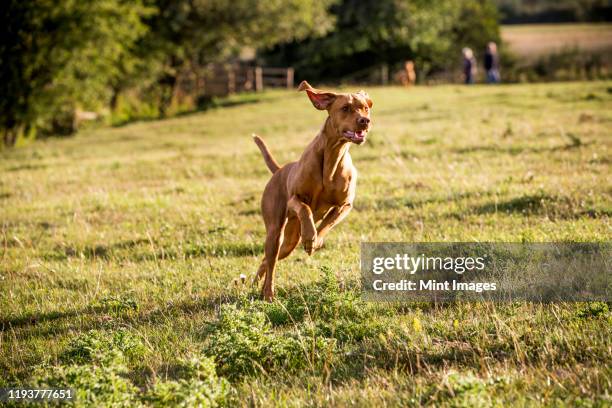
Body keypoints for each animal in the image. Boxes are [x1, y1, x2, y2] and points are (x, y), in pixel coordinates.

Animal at [250, 81, 372, 302]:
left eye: (365, 108)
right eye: (345, 108)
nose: (365, 121)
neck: (333, 156)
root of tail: (279, 169)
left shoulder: (345, 205)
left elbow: (327, 224)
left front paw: (315, 241)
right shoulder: (294, 200)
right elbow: (305, 208)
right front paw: (310, 236)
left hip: (289, 241)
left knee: (268, 260)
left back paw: (258, 286)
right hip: (275, 232)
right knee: (271, 262)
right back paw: (268, 293)